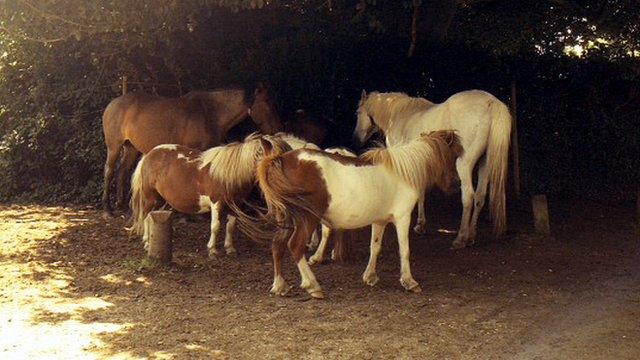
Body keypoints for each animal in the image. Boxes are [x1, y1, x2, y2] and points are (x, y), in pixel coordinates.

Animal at [101, 84, 282, 214]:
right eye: (267, 103)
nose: (276, 130)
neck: (210, 113)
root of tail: (112, 104)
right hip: (114, 146)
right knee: (109, 171)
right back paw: (107, 209)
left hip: (131, 148)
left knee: (122, 171)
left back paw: (121, 205)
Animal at [129, 133, 288, 256]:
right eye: (275, 161)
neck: (227, 174)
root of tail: (149, 155)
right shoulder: (217, 203)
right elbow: (215, 226)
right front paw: (212, 250)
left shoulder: (236, 205)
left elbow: (231, 226)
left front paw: (229, 248)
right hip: (150, 198)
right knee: (145, 215)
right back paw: (146, 242)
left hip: (160, 199)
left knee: (151, 216)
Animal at [238, 129, 462, 298]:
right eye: (453, 156)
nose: (457, 185)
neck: (403, 172)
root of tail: (282, 159)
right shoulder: (402, 218)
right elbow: (404, 250)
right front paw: (409, 282)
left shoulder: (380, 221)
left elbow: (375, 247)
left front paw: (370, 277)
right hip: (307, 220)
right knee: (295, 246)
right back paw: (313, 285)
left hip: (287, 219)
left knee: (277, 246)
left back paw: (280, 286)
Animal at [352, 89, 512, 250]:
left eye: (358, 112)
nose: (356, 138)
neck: (400, 114)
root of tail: (491, 102)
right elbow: (421, 192)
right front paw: (421, 225)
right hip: (484, 164)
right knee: (480, 197)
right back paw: (471, 236)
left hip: (464, 165)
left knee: (468, 197)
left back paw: (461, 238)